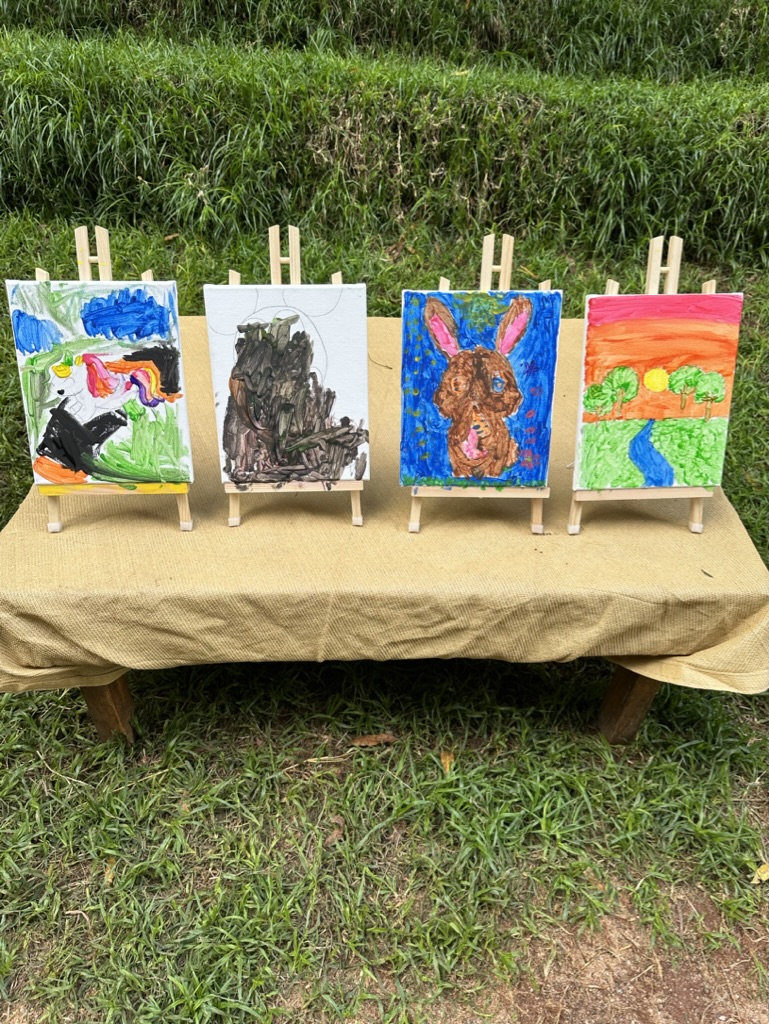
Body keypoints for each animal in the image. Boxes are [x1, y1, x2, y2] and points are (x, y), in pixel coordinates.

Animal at [424, 294, 532, 479]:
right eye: (457, 384)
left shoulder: (499, 454)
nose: (475, 398)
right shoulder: (457, 458)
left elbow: (495, 466)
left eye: (498, 385)